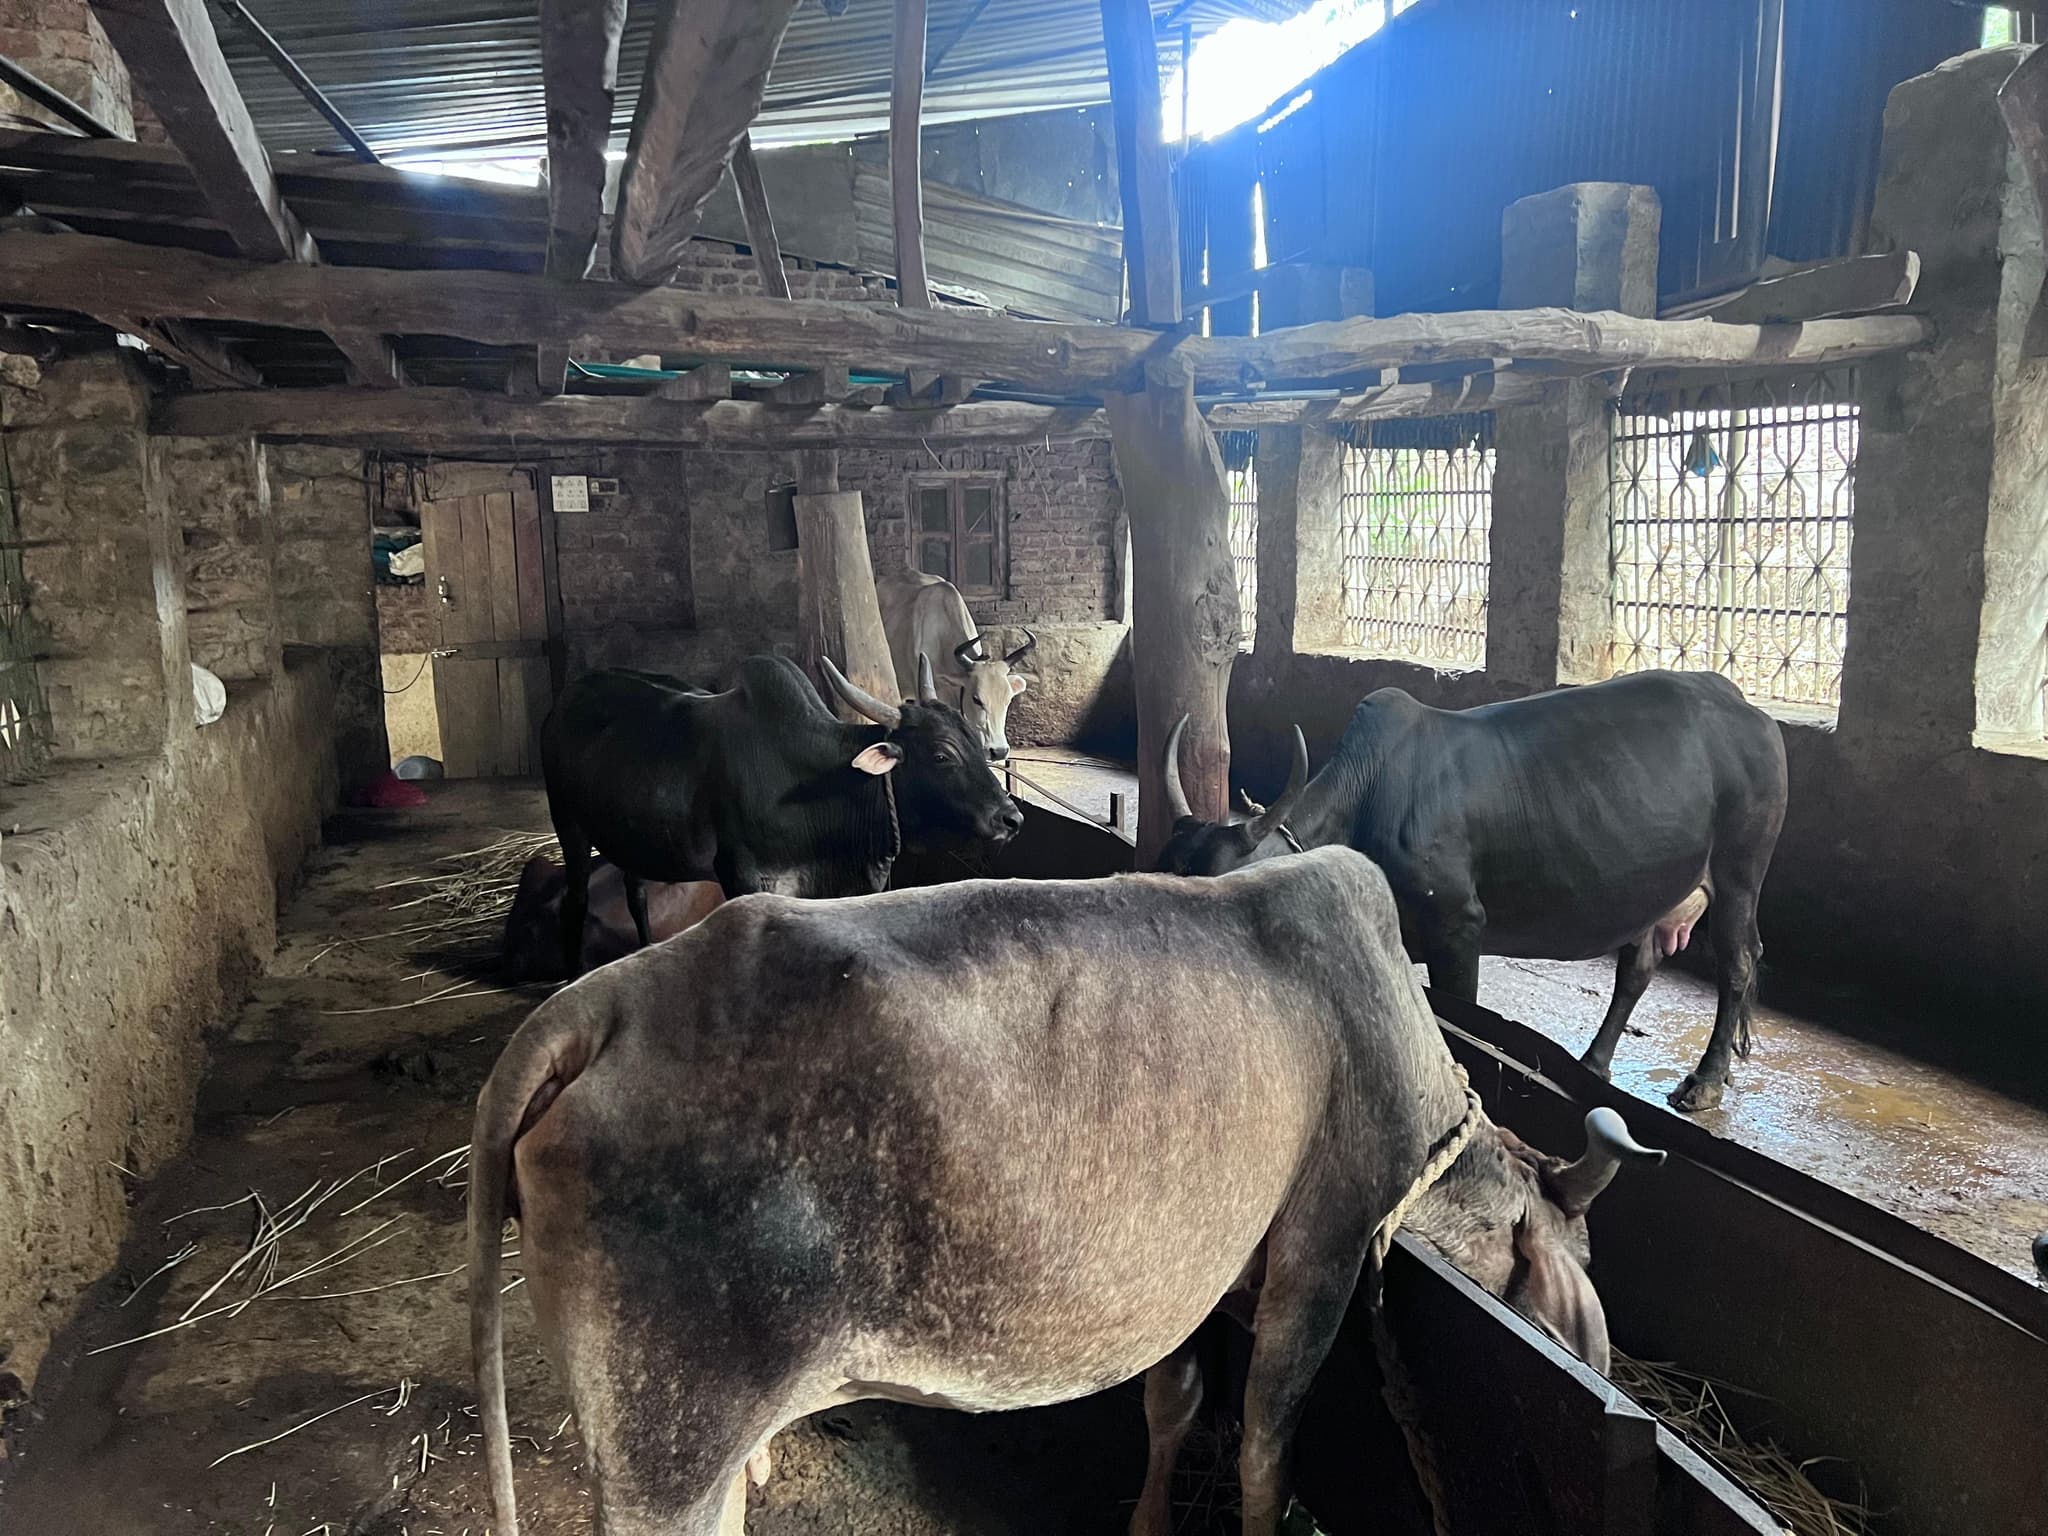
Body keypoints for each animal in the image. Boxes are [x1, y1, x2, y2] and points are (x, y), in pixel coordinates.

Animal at [538, 653, 1023, 976]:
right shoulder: (742, 879)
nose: (1010, 818)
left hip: (634, 840)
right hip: (569, 825)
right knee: (575, 902)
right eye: (942, 755)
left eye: (973, 737)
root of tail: (566, 697)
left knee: (635, 893)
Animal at [1154, 671, 1788, 1112]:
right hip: (1649, 890)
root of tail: (1749, 711)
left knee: (1739, 962)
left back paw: (1703, 1083)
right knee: (1639, 964)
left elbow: (1463, 1029)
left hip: (1740, 871)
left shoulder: (1457, 928)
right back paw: (1595, 1063)